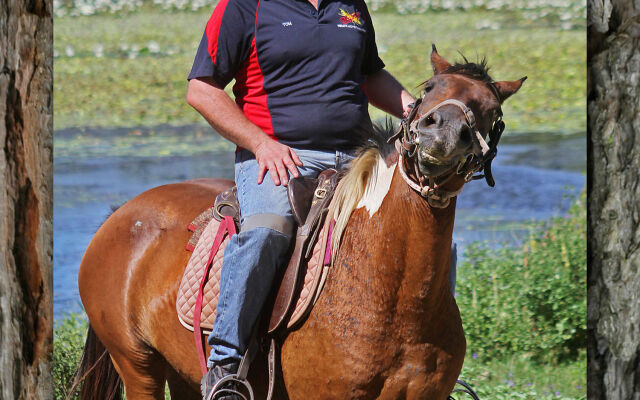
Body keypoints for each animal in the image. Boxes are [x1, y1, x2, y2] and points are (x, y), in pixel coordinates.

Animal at [75, 47, 524, 400]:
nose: (442, 132)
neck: (394, 295)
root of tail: (121, 213)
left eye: (492, 110)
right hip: (138, 365)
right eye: (429, 88)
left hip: (180, 371)